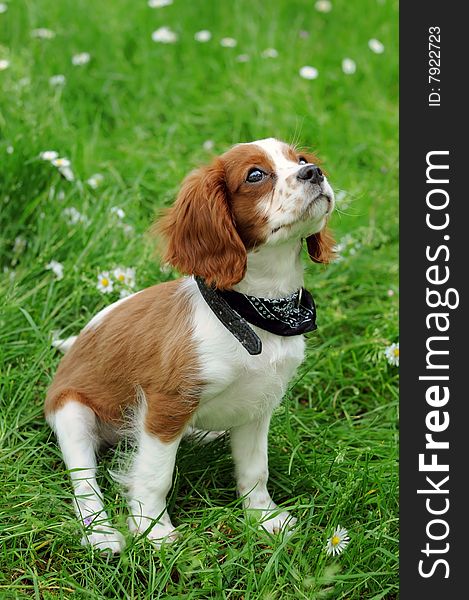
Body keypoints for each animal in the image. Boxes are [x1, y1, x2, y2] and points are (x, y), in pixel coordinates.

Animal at [45, 138, 334, 552]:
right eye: (255, 175)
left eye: (302, 159)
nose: (314, 173)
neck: (252, 313)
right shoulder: (166, 405)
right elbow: (156, 475)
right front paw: (153, 530)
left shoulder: (258, 405)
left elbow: (255, 468)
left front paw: (264, 518)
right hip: (72, 413)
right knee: (84, 481)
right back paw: (100, 533)